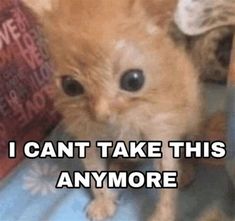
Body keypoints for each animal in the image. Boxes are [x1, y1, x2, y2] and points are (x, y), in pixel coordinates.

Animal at [22, 0, 202, 220]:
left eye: (133, 81)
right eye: (70, 86)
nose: (101, 113)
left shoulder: (162, 133)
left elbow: (167, 183)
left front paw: (163, 215)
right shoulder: (88, 138)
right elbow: (94, 173)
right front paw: (103, 201)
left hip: (192, 114)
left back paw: (186, 169)